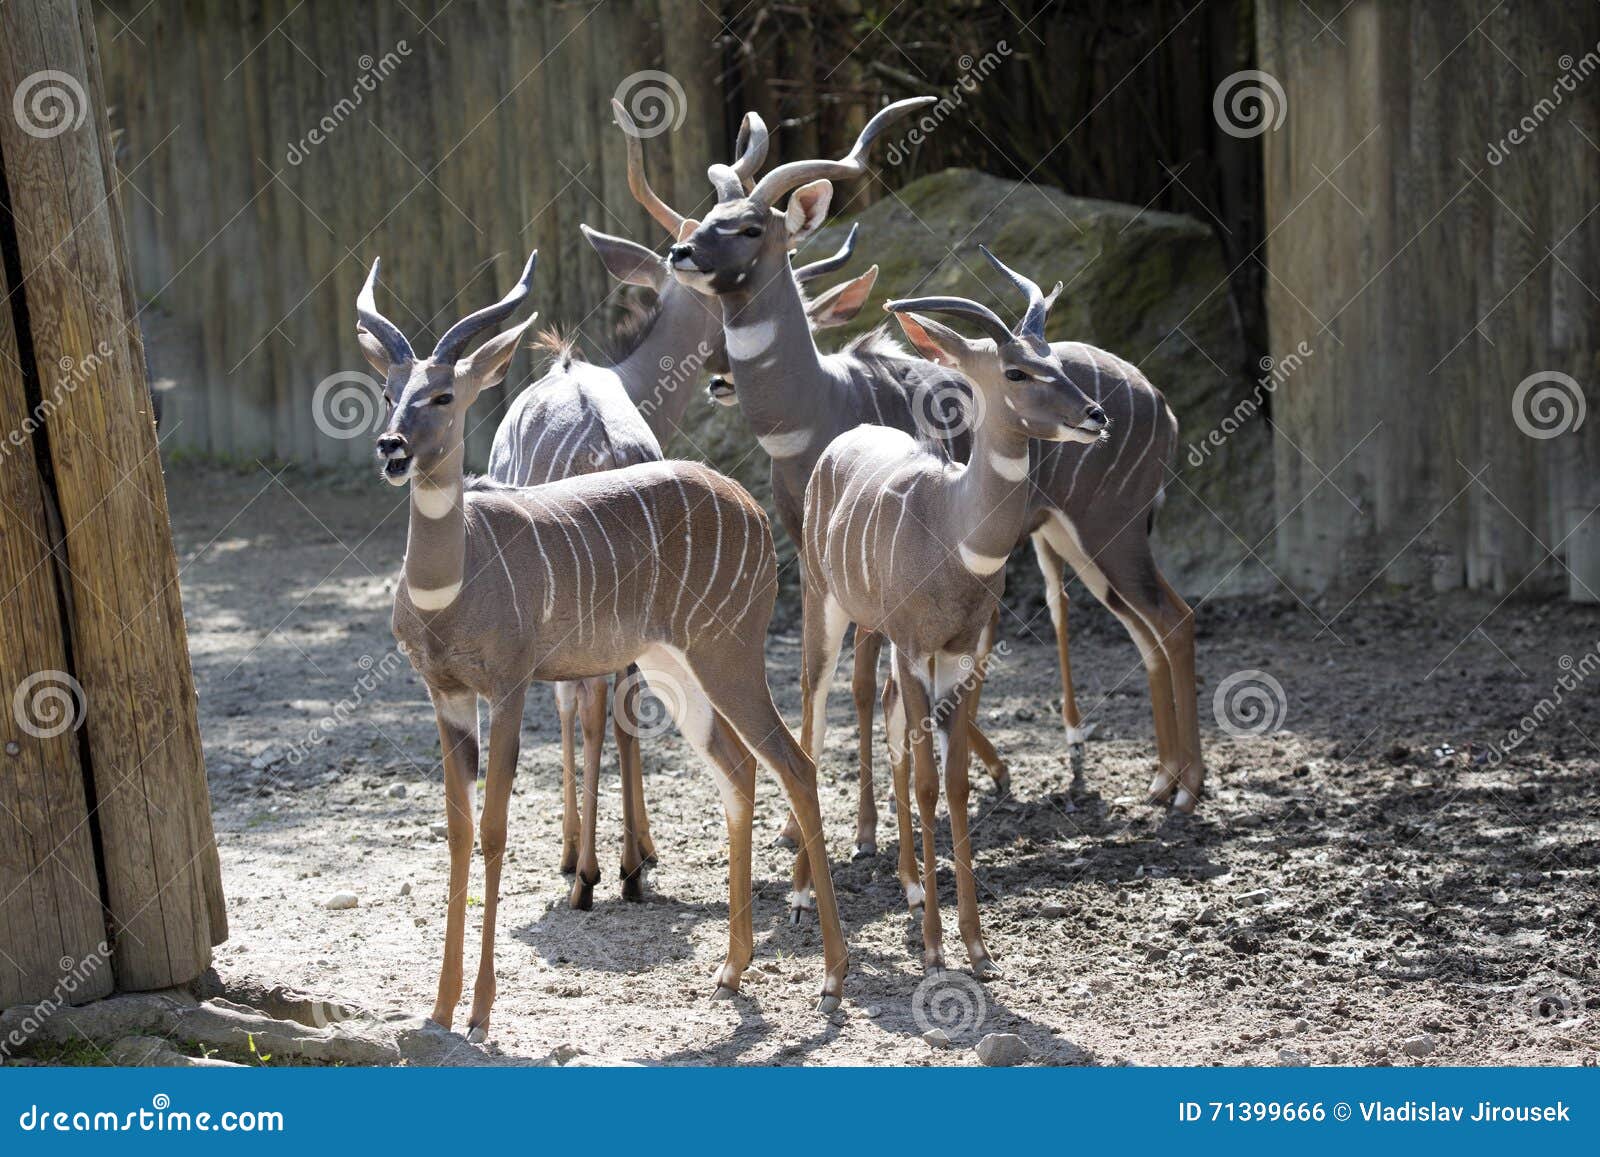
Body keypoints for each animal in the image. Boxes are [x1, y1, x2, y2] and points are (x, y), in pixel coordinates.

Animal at [353, 256, 851, 1043]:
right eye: (386, 391)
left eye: (442, 393)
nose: (393, 448)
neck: (455, 579)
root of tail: (746, 503)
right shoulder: (446, 695)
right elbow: (458, 832)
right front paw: (437, 1007)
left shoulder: (510, 685)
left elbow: (494, 829)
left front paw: (482, 1011)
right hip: (675, 668)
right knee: (738, 769)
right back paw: (731, 969)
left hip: (728, 655)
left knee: (794, 765)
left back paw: (832, 976)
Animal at [480, 99, 768, 908]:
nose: (727, 374)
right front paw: (639, 850)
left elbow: (571, 705)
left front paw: (581, 856)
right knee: (622, 698)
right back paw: (628, 864)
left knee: (588, 703)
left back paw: (589, 871)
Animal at [800, 262, 1113, 979]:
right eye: (1017, 371)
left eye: (1056, 358)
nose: (1096, 415)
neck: (953, 526)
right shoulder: (917, 649)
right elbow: (925, 783)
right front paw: (937, 946)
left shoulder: (962, 654)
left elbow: (955, 782)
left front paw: (976, 946)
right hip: (824, 610)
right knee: (813, 719)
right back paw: (804, 895)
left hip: (878, 636)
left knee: (887, 725)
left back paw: (911, 883)